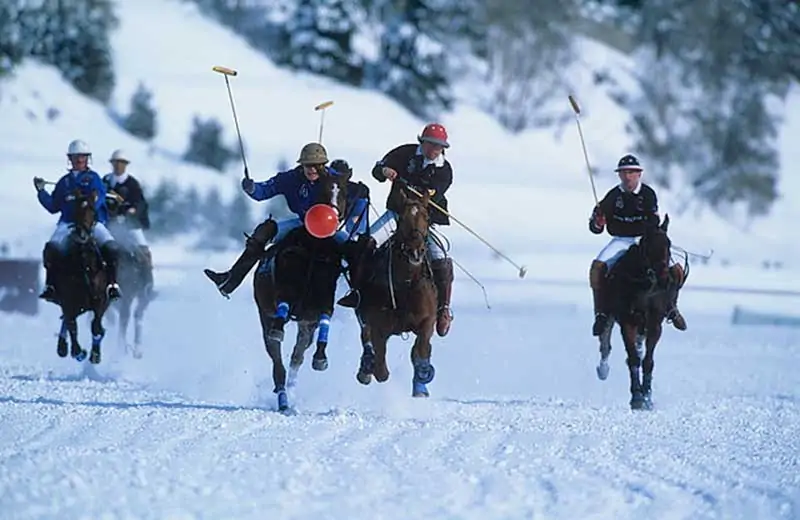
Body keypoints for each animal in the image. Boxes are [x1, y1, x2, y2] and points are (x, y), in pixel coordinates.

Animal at [52, 189, 111, 364]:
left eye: (92, 209)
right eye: (75, 208)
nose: (81, 233)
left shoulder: (100, 300)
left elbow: (96, 326)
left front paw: (95, 355)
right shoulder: (68, 300)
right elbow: (71, 324)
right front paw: (78, 352)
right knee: (67, 321)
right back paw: (63, 347)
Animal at [252, 171, 348, 414]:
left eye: (343, 191)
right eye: (323, 189)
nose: (330, 217)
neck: (314, 250)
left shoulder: (321, 303)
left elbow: (325, 317)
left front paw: (320, 358)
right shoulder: (286, 287)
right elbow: (283, 305)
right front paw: (279, 329)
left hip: (305, 326)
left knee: (296, 356)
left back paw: (291, 389)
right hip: (264, 314)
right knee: (277, 362)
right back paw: (283, 398)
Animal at [354, 189, 438, 396]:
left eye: (427, 216)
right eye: (402, 218)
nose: (416, 251)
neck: (406, 284)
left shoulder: (427, 320)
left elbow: (421, 348)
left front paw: (423, 372)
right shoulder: (378, 328)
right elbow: (381, 371)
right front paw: (369, 367)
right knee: (365, 337)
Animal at [596, 214, 684, 410]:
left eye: (668, 243)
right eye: (648, 245)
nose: (664, 279)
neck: (646, 286)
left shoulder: (655, 324)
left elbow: (648, 361)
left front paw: (648, 397)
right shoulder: (627, 322)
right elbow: (634, 359)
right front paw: (637, 397)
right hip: (612, 317)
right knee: (605, 342)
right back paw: (602, 369)